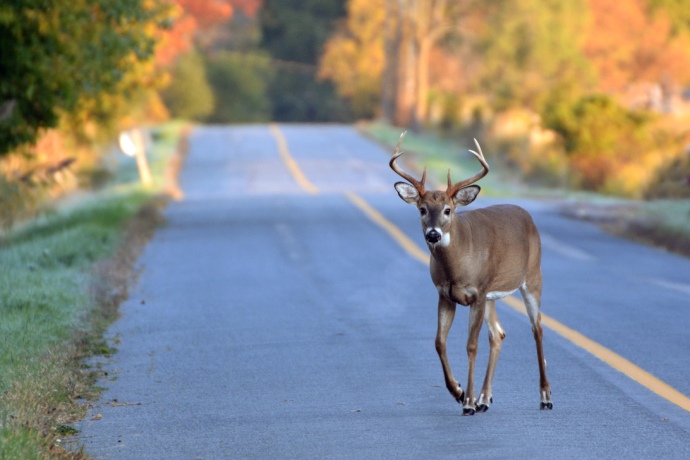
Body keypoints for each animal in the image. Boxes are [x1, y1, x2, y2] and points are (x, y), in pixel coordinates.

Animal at [388, 131, 552, 416]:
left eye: (448, 210)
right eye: (422, 209)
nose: (433, 234)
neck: (457, 266)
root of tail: (526, 214)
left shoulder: (477, 291)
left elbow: (471, 345)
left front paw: (467, 402)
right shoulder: (446, 294)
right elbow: (439, 342)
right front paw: (459, 392)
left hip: (532, 278)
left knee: (537, 328)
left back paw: (545, 397)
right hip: (492, 296)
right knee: (498, 333)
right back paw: (485, 399)